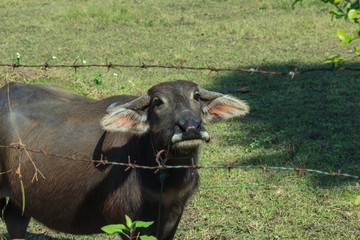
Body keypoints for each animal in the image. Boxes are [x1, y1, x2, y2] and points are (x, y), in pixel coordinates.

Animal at [0, 80, 249, 238]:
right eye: (158, 102)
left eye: (196, 97)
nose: (190, 128)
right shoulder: (127, 222)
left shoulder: (173, 216)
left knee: (15, 220)